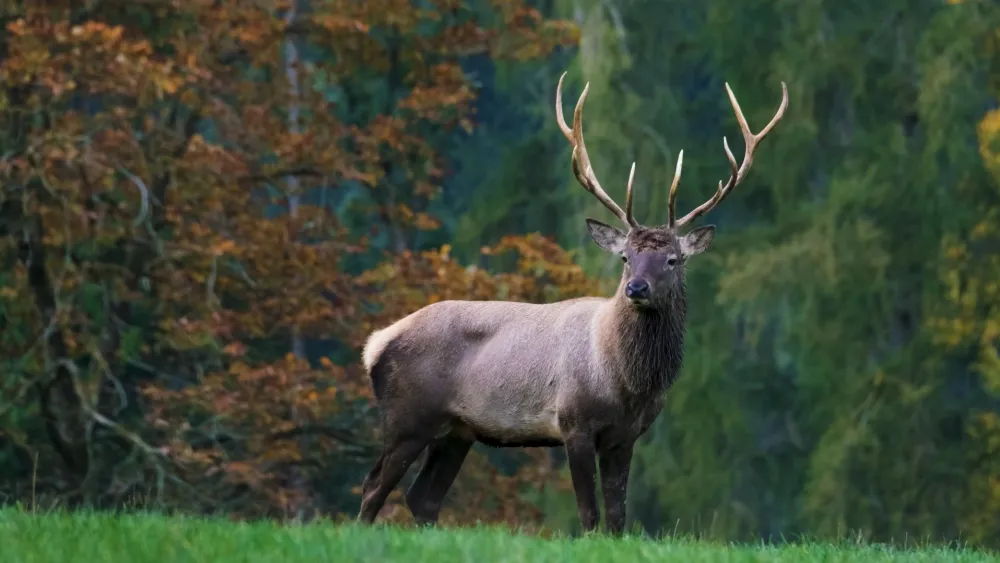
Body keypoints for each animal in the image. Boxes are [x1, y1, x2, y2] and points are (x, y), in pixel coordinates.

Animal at [356, 71, 788, 534]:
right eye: (626, 256)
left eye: (672, 259)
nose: (636, 288)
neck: (625, 382)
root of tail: (374, 344)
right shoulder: (573, 421)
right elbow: (590, 514)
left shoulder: (625, 435)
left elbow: (617, 515)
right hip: (407, 416)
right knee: (373, 486)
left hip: (457, 431)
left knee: (423, 497)